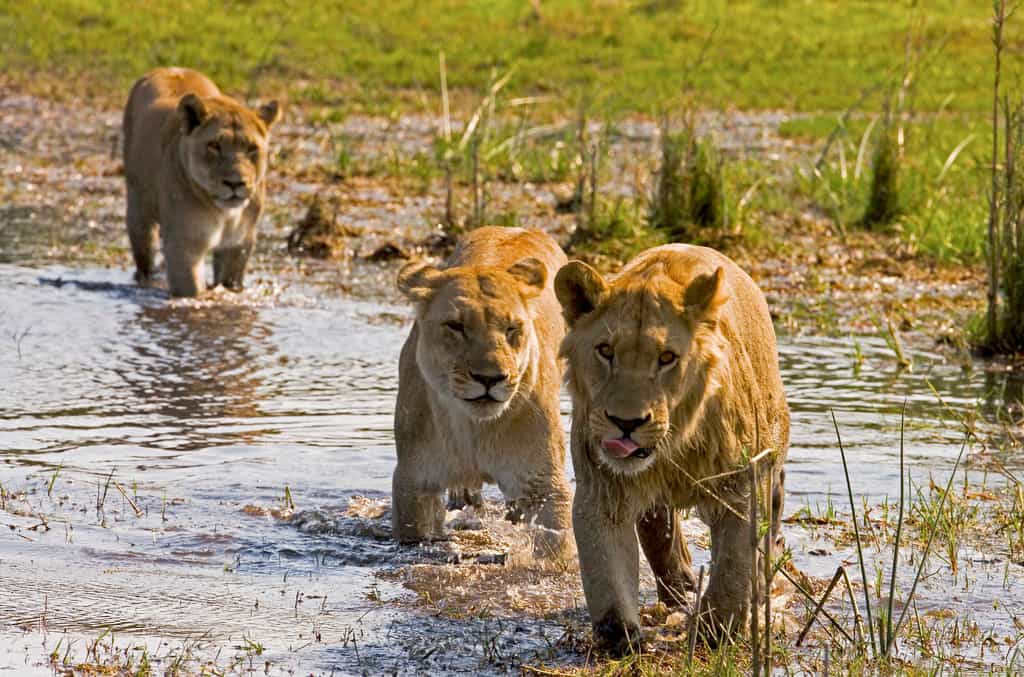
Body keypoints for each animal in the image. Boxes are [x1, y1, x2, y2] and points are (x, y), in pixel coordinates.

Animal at [122, 67, 281, 297]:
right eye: (214, 145)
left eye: (252, 148)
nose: (235, 183)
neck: (225, 214)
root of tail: (169, 68)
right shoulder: (184, 245)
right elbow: (192, 291)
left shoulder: (238, 245)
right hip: (139, 215)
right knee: (144, 259)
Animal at [393, 226, 573, 558]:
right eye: (455, 326)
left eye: (513, 328)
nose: (490, 378)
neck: (474, 428)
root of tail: (514, 227)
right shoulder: (413, 481)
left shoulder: (546, 483)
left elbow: (555, 545)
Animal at [554, 244, 789, 654]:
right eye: (605, 351)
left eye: (666, 358)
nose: (626, 422)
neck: (674, 445)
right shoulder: (602, 488)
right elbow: (606, 568)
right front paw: (621, 638)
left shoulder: (741, 486)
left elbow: (734, 566)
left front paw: (716, 633)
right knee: (657, 527)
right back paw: (679, 588)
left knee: (772, 512)